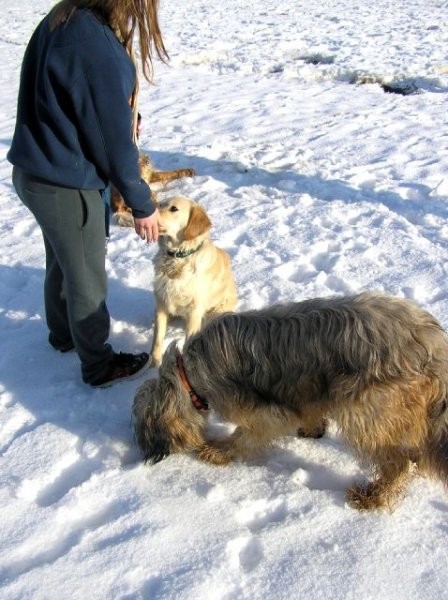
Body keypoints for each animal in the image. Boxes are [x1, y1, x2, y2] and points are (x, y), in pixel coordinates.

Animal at [133, 292, 448, 508]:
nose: (147, 454)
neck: (190, 374)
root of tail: (433, 343)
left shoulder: (262, 410)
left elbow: (247, 435)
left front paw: (217, 451)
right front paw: (313, 428)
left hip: (366, 406)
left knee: (398, 461)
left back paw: (373, 496)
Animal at [150, 197, 236, 366]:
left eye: (174, 208)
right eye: (160, 204)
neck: (177, 257)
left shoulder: (194, 311)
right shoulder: (161, 302)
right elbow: (157, 338)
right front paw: (154, 364)